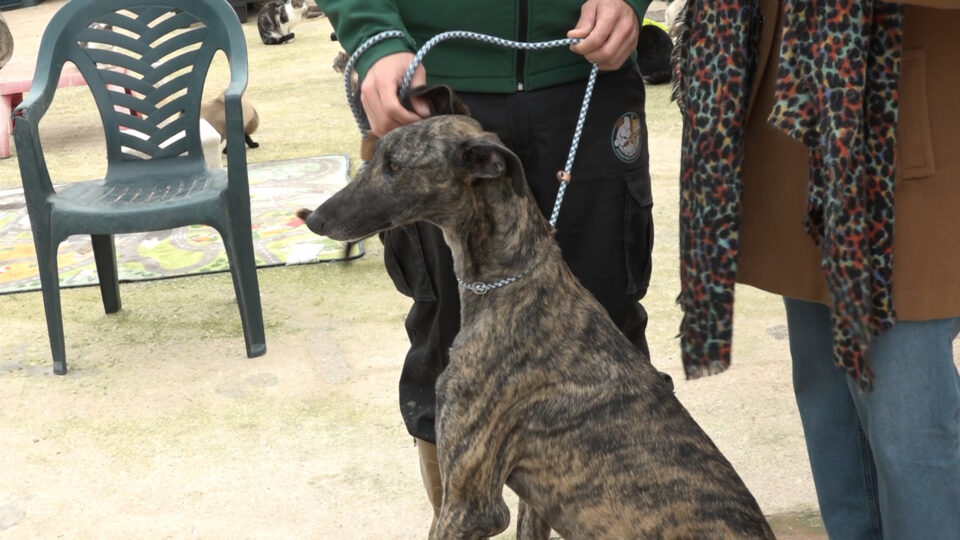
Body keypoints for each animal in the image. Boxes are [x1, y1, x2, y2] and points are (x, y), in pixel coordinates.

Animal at [297, 87, 775, 539]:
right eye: (376, 154)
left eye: (395, 166)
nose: (313, 219)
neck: (509, 282)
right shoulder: (534, 500)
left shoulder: (472, 506)